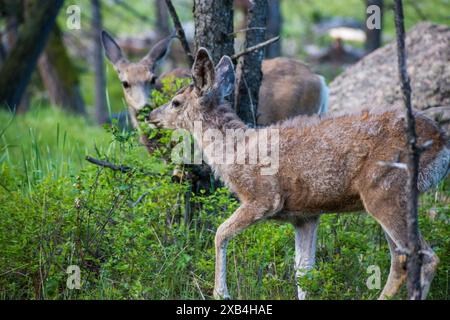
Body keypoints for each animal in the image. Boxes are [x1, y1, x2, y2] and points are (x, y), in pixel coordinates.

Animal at [149, 47, 450, 300]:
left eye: (175, 102)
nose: (151, 116)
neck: (234, 150)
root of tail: (441, 140)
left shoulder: (263, 198)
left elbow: (220, 233)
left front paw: (221, 293)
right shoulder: (305, 215)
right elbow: (304, 271)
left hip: (386, 190)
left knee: (424, 256)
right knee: (401, 259)